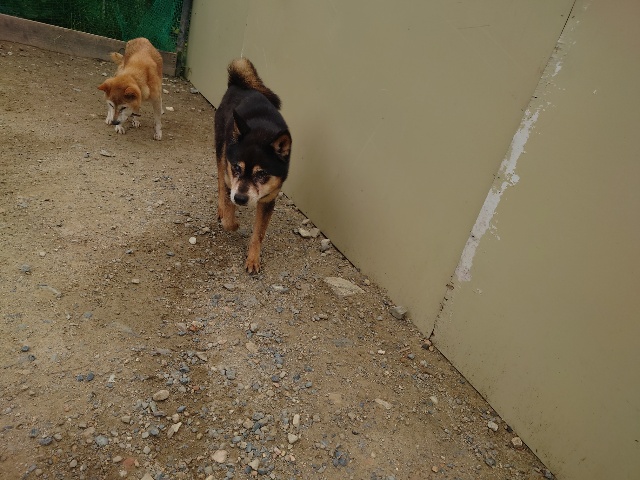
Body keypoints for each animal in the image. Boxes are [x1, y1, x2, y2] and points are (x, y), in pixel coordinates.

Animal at [214, 58, 292, 273]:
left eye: (262, 174)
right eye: (237, 168)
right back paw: (221, 207)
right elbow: (229, 219)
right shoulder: (230, 180)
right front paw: (232, 223)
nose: (240, 199)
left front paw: (253, 259)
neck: (262, 132)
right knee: (220, 180)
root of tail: (239, 84)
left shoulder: (269, 199)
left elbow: (259, 234)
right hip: (220, 151)